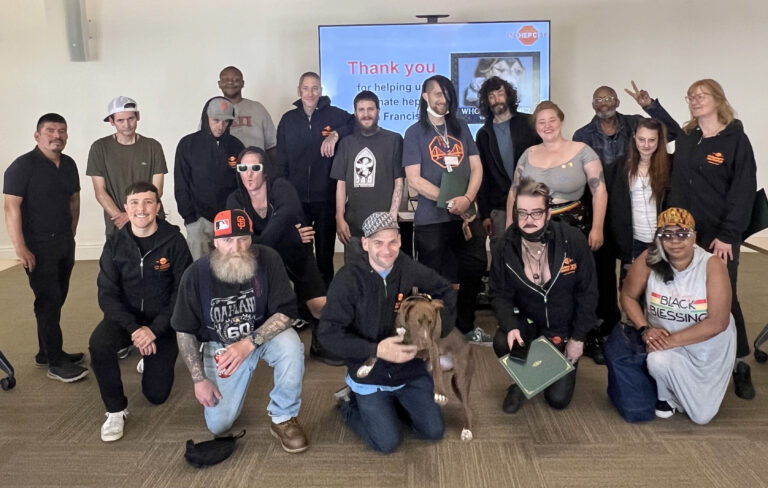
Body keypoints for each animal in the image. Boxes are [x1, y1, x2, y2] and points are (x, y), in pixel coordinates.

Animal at [356, 294, 474, 442]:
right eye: (417, 321)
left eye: (431, 322)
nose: (425, 343)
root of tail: (468, 345)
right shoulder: (393, 341)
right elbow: (379, 349)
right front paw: (365, 367)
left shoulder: (433, 347)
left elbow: (437, 373)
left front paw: (440, 394)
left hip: (461, 380)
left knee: (467, 407)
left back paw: (467, 430)